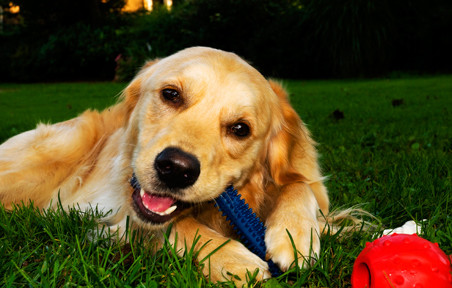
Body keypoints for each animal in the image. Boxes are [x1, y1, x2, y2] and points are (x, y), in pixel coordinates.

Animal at [0, 47, 338, 284]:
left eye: (240, 129)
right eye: (171, 94)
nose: (175, 168)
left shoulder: (312, 186)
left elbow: (300, 183)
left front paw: (294, 234)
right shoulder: (120, 213)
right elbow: (175, 224)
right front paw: (231, 258)